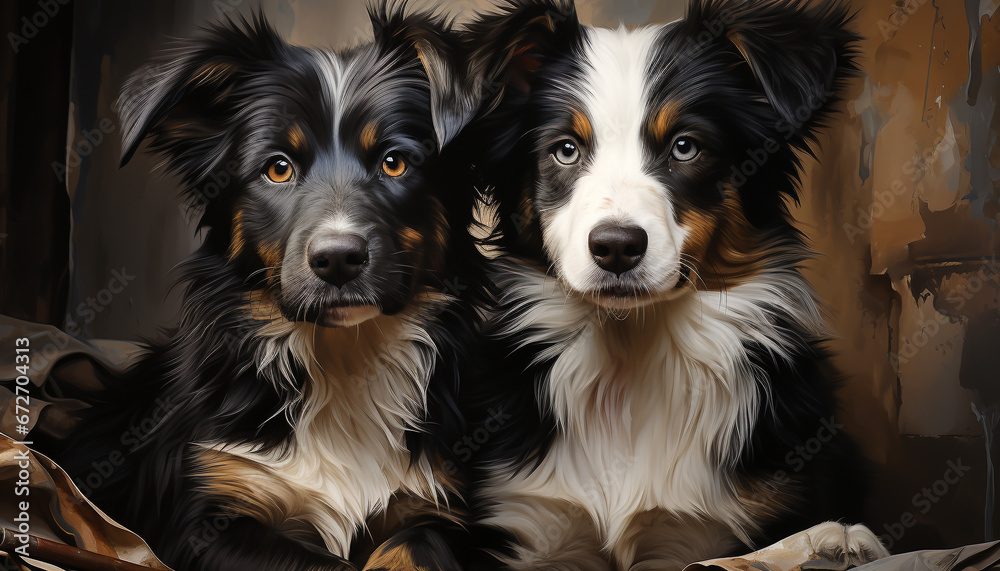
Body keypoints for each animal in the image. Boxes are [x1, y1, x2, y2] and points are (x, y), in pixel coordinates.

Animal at [41, 4, 486, 571]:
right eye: (278, 168)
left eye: (394, 162)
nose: (337, 259)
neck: (344, 357)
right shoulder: (207, 521)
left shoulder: (437, 510)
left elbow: (412, 548)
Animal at [460, 1, 892, 571]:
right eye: (566, 150)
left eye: (686, 147)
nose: (616, 246)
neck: (630, 356)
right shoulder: (525, 521)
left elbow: (727, 558)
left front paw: (827, 540)